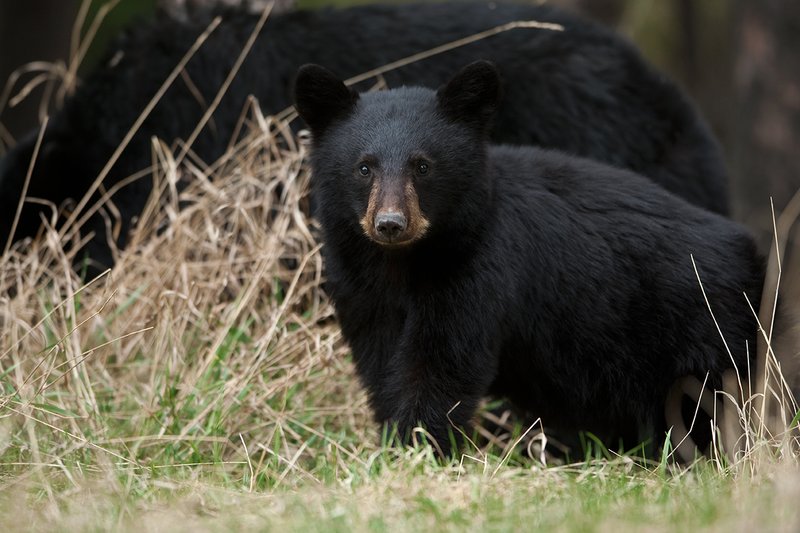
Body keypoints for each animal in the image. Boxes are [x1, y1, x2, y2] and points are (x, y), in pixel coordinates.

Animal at [292, 60, 763, 457]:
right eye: (364, 167)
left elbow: (442, 361)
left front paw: (419, 447)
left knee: (702, 407)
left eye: (422, 166)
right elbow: (380, 360)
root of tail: (751, 250)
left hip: (701, 334)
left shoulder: (478, 268)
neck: (404, 263)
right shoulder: (360, 285)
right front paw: (393, 441)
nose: (390, 224)